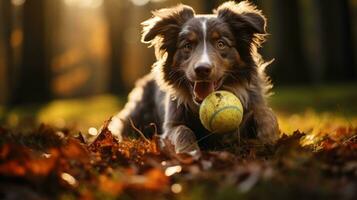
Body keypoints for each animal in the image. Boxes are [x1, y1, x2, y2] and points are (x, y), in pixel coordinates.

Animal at [107, 0, 280, 155]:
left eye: (221, 44)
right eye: (187, 46)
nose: (202, 69)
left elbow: (263, 113)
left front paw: (268, 135)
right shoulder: (171, 125)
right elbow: (182, 130)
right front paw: (189, 151)